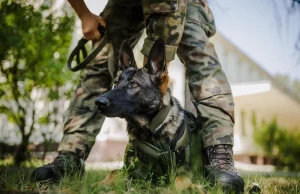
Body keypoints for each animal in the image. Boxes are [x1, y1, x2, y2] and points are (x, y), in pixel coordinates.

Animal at [96, 39, 204, 192]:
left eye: (133, 84)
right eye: (116, 82)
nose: (98, 103)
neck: (150, 130)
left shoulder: (184, 170)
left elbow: (180, 180)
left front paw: (191, 188)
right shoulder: (131, 170)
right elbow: (113, 172)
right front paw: (100, 184)